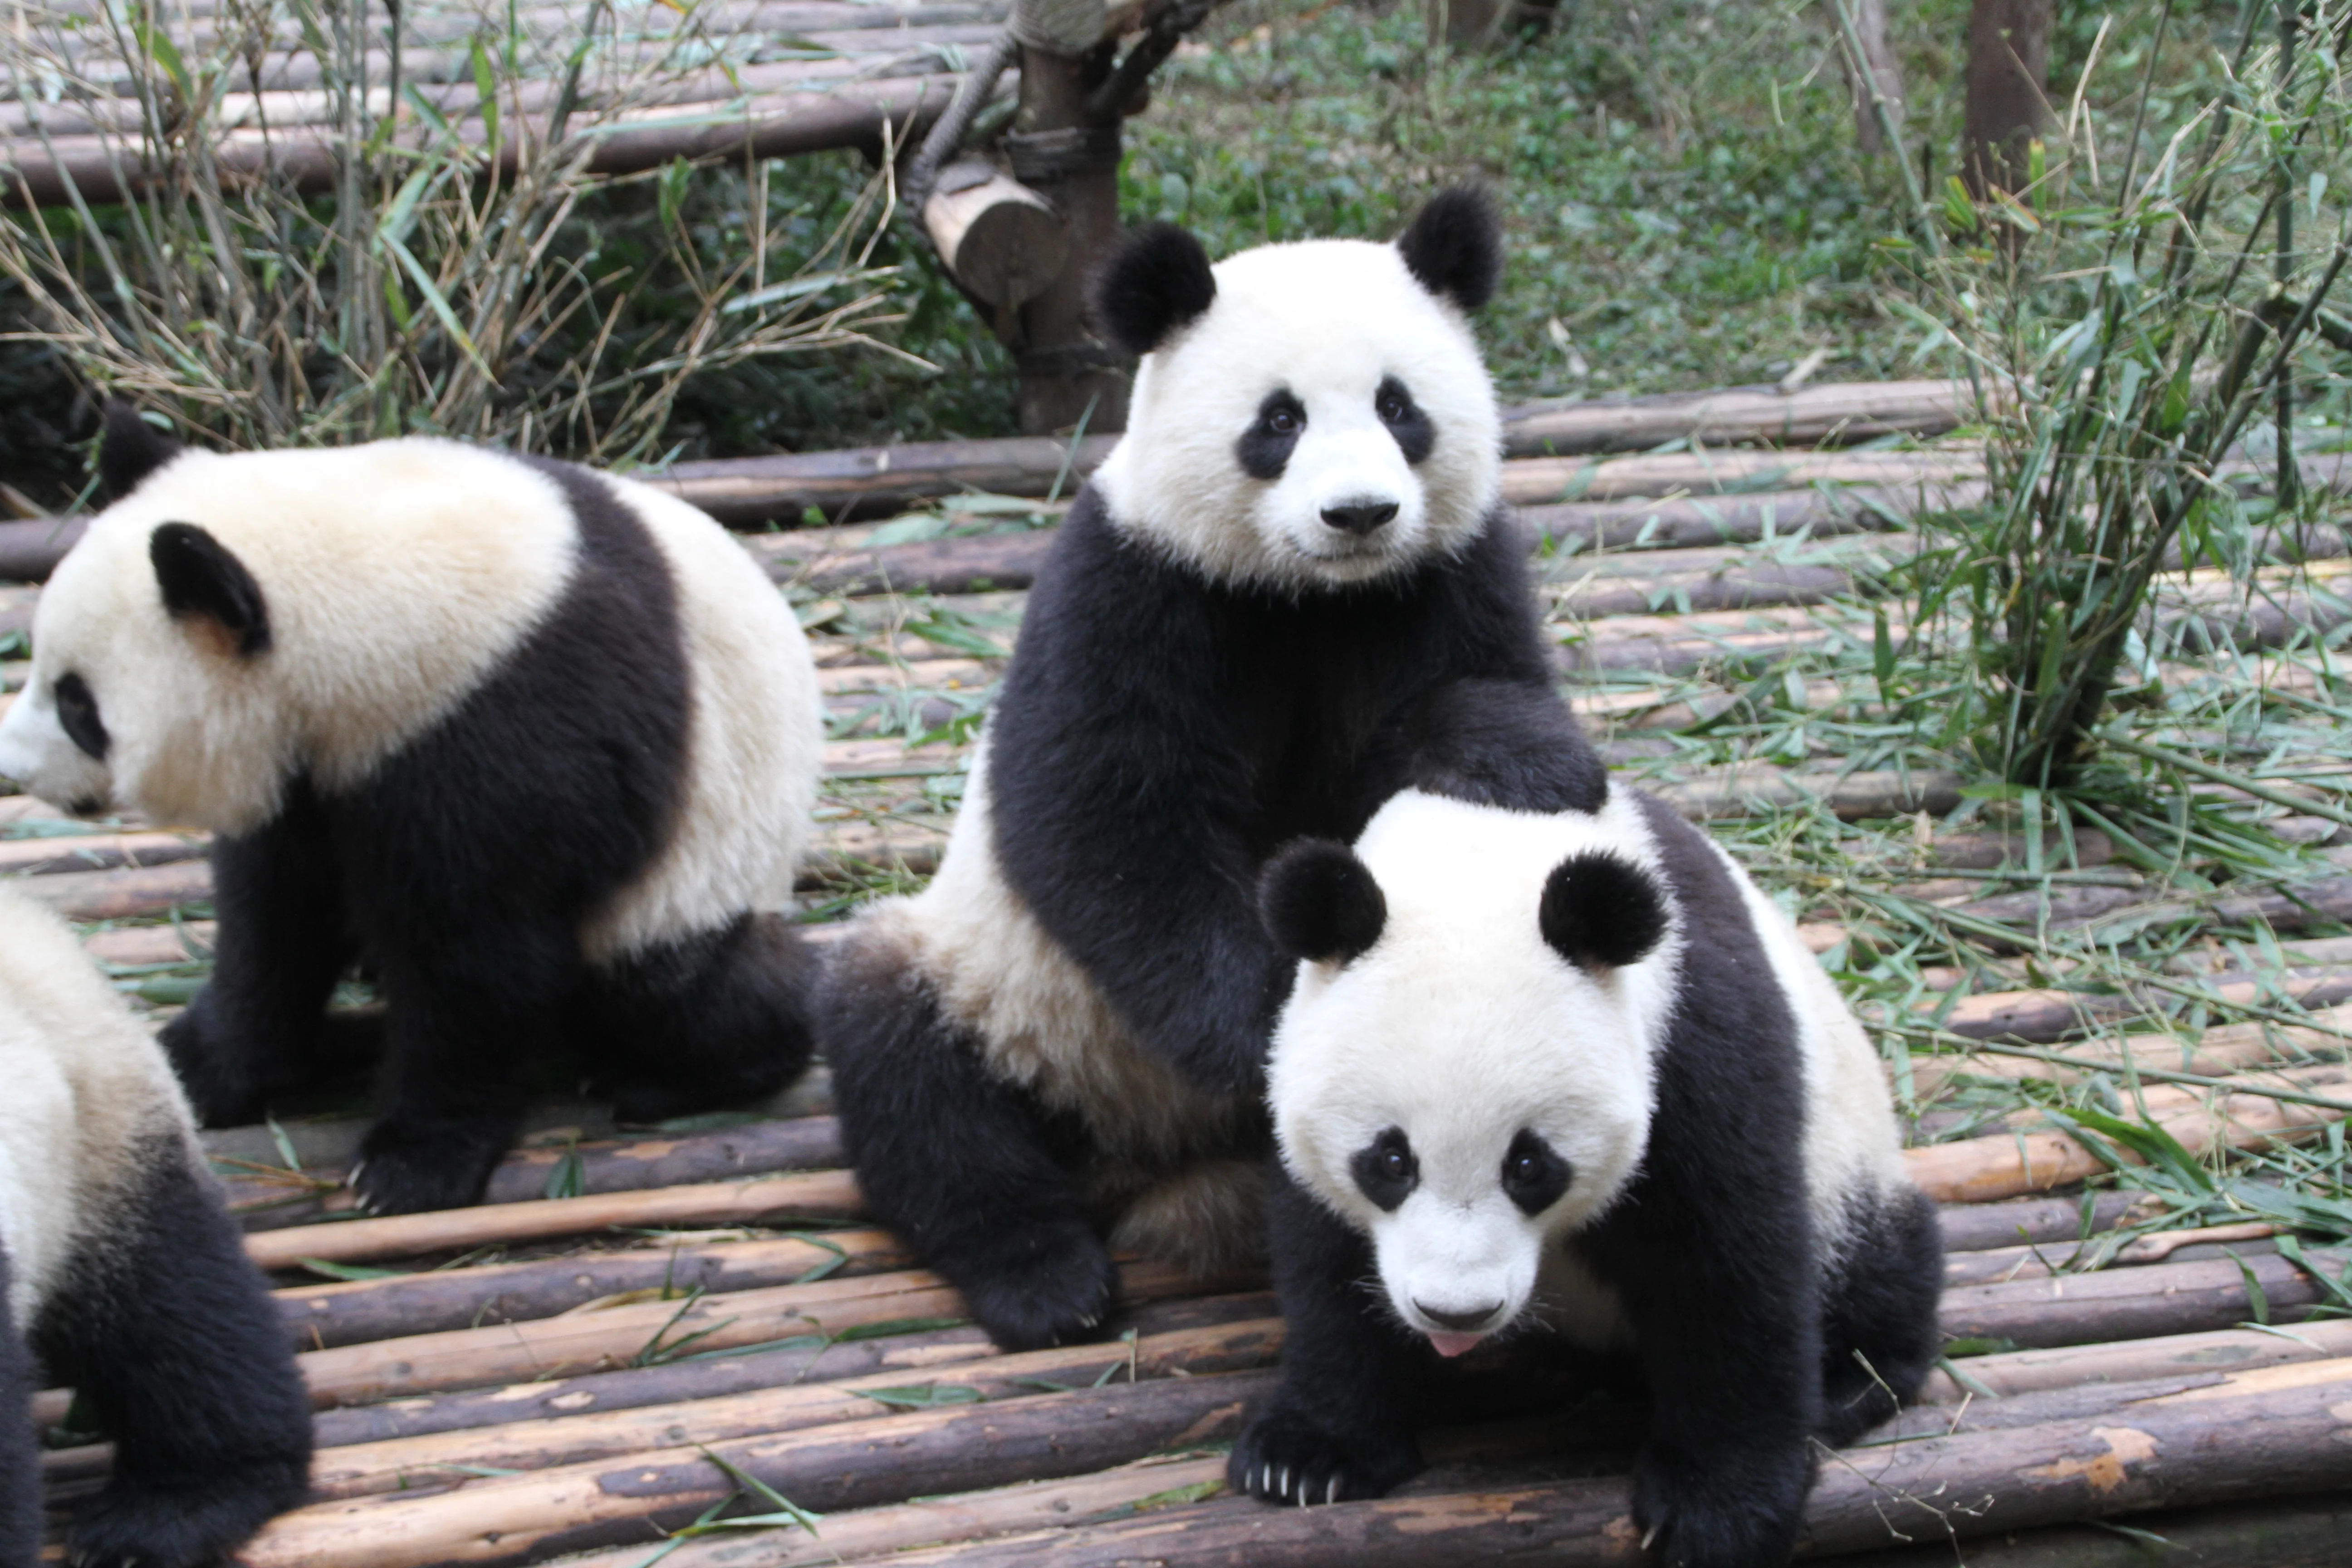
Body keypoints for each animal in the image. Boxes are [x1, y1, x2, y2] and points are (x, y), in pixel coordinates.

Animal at [0, 407, 825, 1216]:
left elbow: (477, 953)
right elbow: (274, 915)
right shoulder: (313, 765)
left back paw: (674, 1076)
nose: (15, 766)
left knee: (678, 986)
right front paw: (201, 1066)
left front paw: (408, 1165)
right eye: (42, 668)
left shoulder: (505, 722)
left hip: (698, 862)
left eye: (79, 706)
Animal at [818, 188, 1608, 1352]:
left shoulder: (1436, 575)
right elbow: (1104, 824)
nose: (1360, 513)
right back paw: (1045, 1279)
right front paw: (1268, 1037)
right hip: (1004, 993)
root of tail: (1144, 1167)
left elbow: (1464, 703)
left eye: (1398, 407)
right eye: (1277, 421)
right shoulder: (1133, 587)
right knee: (908, 1070)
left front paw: (1525, 759)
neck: (1307, 594)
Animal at [1236, 784, 1945, 1567]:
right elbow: (1326, 1262)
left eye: (1529, 1165)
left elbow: (1726, 1263)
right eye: (1391, 1162)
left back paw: (1851, 1381)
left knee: (1878, 1265)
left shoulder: (1687, 1036)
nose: (1457, 1314)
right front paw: (1309, 1456)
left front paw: (1719, 1511)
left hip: (1850, 1161)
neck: (1480, 844)